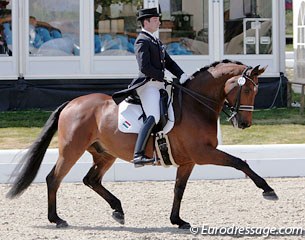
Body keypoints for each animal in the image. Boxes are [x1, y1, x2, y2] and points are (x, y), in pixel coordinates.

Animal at [7, 59, 278, 229]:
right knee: (54, 178)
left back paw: (118, 210)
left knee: (91, 179)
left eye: (256, 92)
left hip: (106, 154)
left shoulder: (188, 160)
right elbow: (239, 162)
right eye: (247, 91)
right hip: (72, 150)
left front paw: (177, 221)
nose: (244, 124)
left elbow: (179, 189)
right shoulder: (203, 153)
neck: (196, 105)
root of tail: (71, 103)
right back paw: (57, 219)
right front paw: (267, 190)